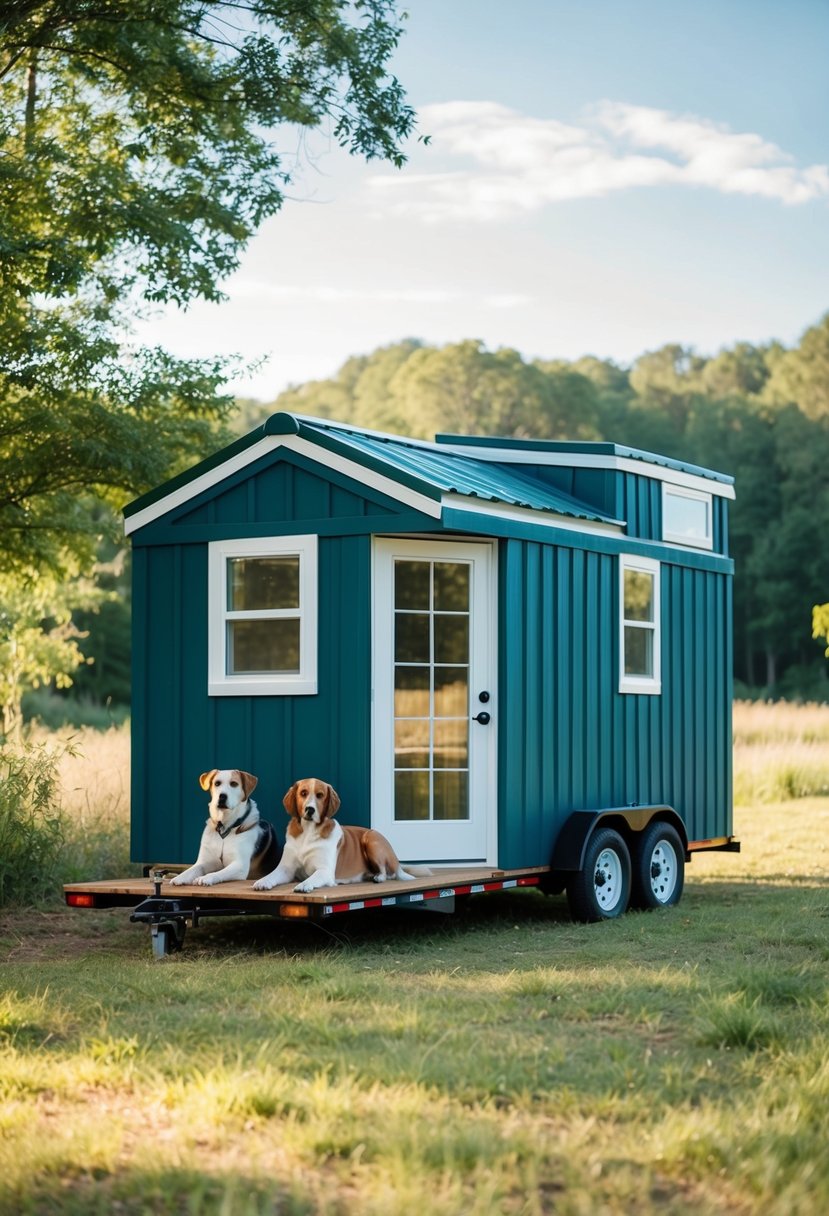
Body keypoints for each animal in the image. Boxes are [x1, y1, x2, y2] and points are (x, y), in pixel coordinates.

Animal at [250, 778, 430, 894]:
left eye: (320, 795)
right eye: (303, 793)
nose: (310, 809)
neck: (308, 832)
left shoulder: (325, 871)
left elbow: (312, 878)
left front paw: (304, 885)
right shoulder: (286, 869)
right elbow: (272, 875)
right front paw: (262, 881)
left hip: (371, 838)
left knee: (386, 872)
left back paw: (378, 877)